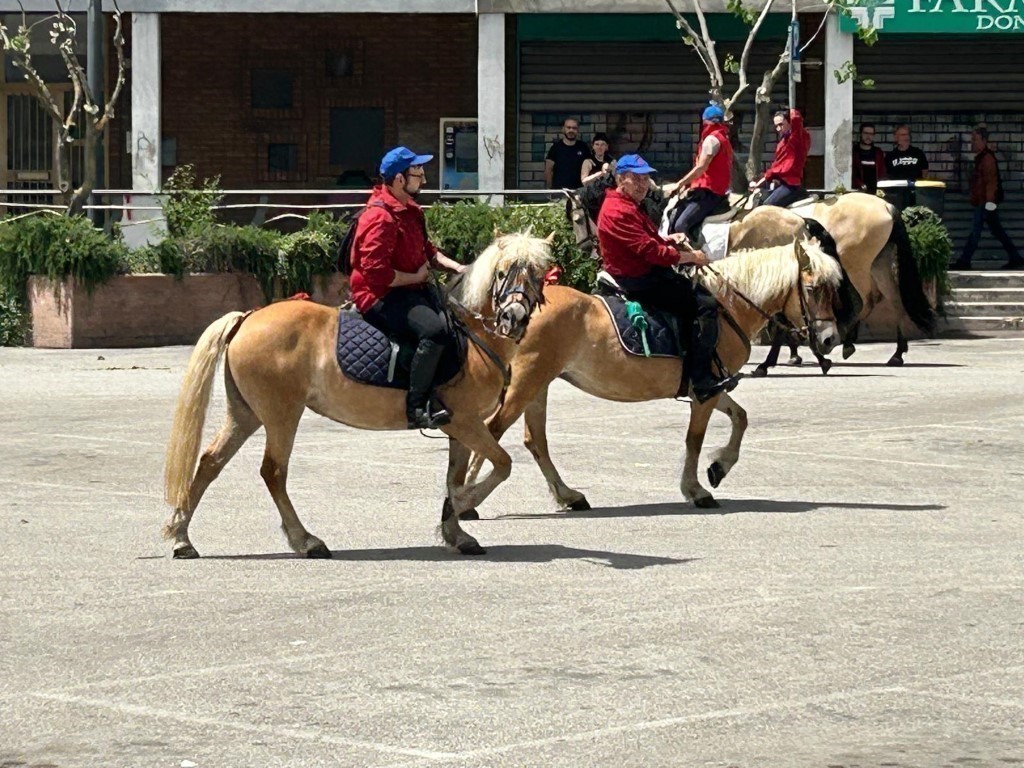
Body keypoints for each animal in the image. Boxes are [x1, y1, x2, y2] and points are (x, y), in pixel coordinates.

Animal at [162, 231, 551, 559]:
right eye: (501, 273)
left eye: (537, 273)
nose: (513, 317)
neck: (472, 336)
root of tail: (249, 317)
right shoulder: (466, 422)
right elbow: (502, 464)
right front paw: (463, 503)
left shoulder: (460, 429)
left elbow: (455, 476)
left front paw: (456, 532)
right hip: (281, 414)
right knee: (273, 471)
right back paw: (306, 541)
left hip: (245, 413)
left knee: (210, 462)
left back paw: (182, 537)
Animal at [461, 238, 843, 511]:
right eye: (813, 289)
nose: (830, 339)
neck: (725, 309)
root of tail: (515, 309)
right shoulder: (705, 391)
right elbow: (694, 439)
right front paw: (696, 489)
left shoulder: (708, 388)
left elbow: (741, 417)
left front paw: (719, 467)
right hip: (527, 383)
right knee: (493, 431)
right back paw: (467, 496)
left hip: (537, 385)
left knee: (533, 440)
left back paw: (567, 495)